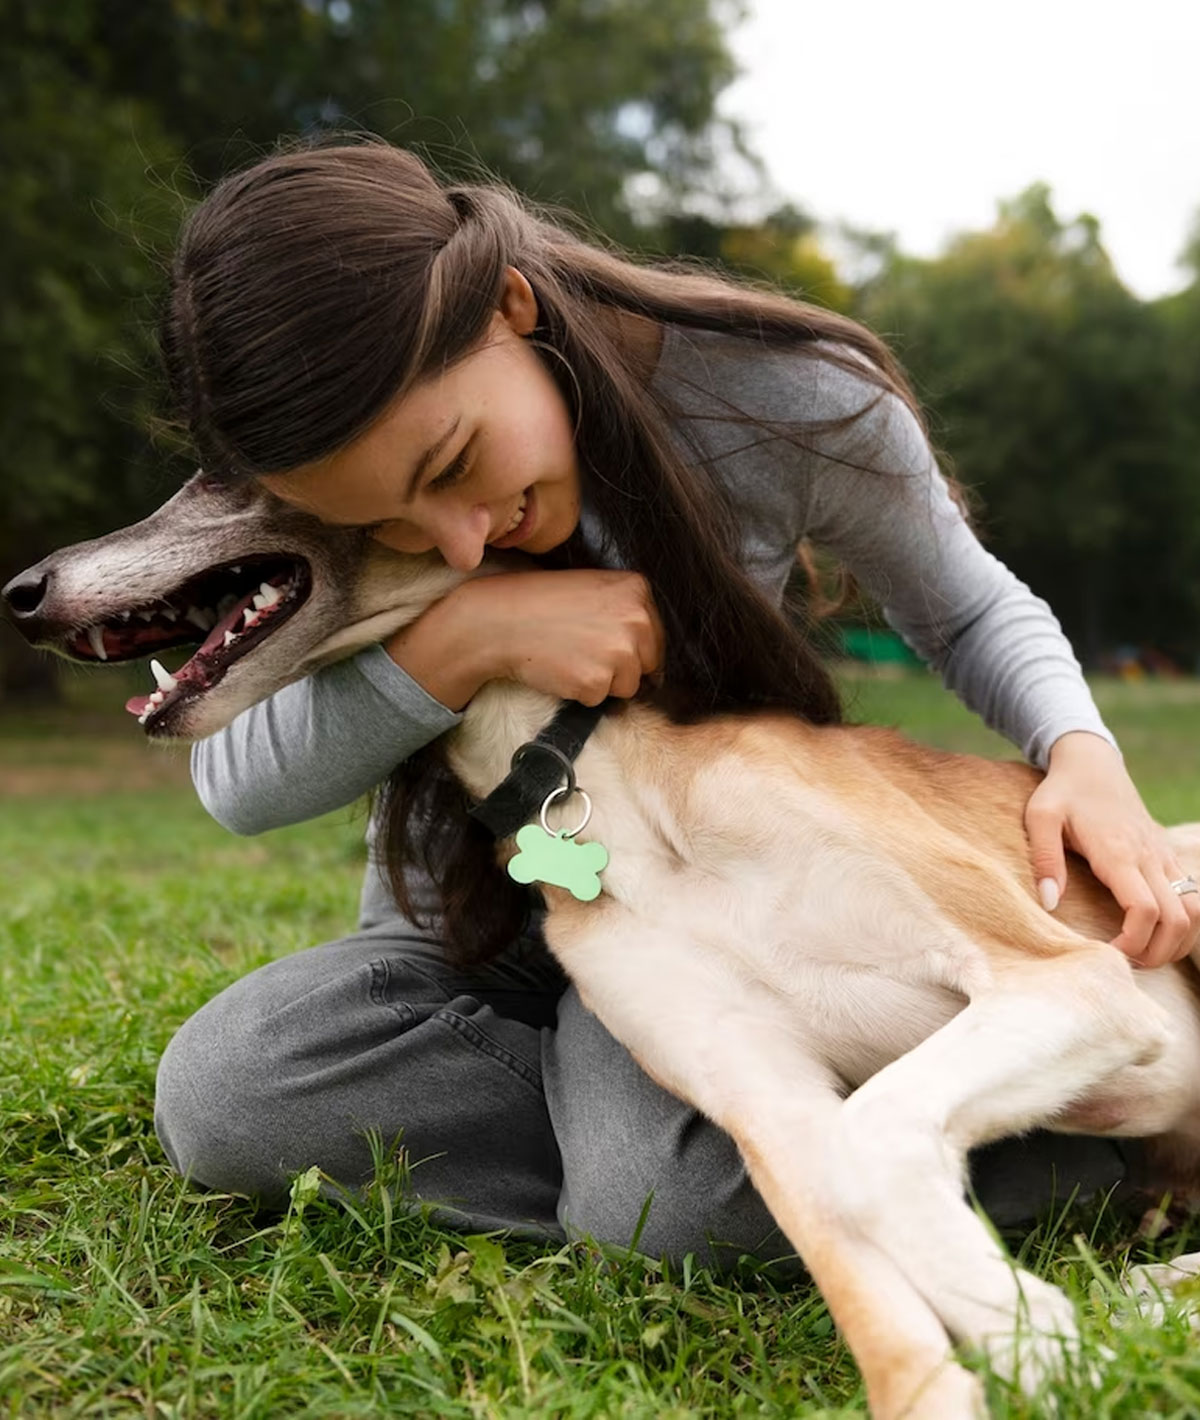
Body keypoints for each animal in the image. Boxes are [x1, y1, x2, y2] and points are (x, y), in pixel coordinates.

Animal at [7, 471, 1198, 1414]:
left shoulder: (1065, 979)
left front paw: (1045, 1340)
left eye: (224, 472)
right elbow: (863, 1231)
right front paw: (1027, 1343)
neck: (595, 784)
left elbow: (874, 1141)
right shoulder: (763, 1094)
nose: (21, 594)